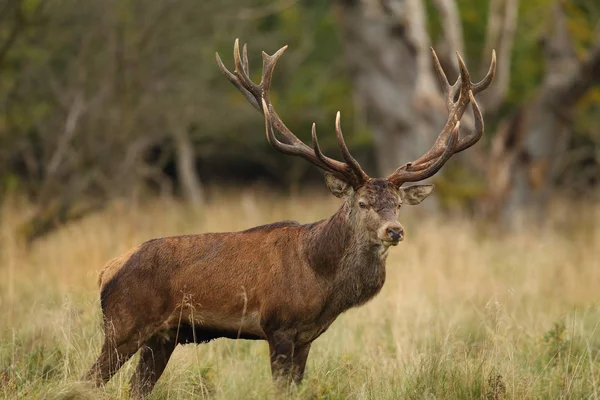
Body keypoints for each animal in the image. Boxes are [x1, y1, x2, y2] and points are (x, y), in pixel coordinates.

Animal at [84, 39, 496, 398]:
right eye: (363, 203)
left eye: (397, 204)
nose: (394, 230)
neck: (321, 280)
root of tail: (106, 270)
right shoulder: (278, 326)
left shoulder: (307, 337)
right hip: (123, 325)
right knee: (86, 380)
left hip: (162, 337)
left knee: (136, 387)